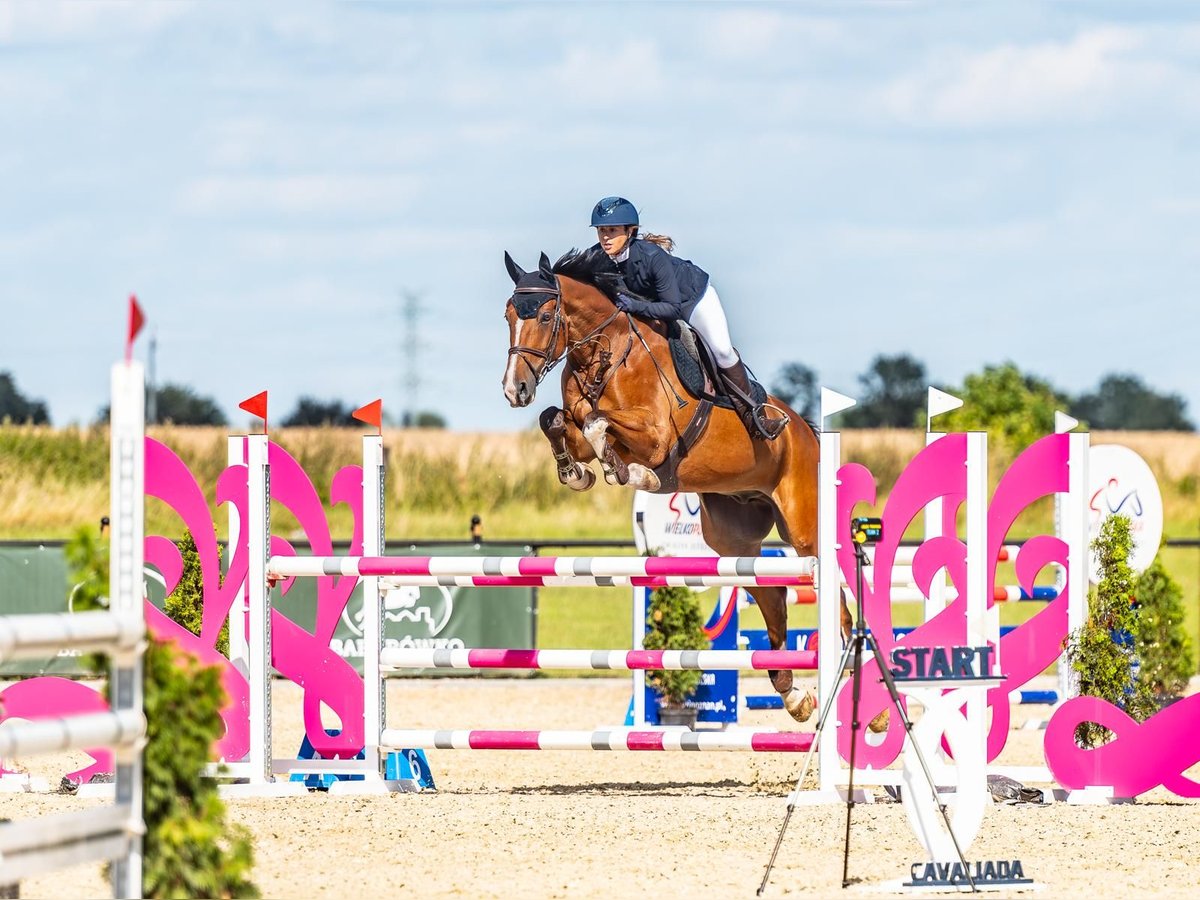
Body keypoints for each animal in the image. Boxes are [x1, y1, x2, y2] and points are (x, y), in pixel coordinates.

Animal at [501, 248, 849, 724]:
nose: (514, 389)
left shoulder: (656, 436)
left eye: (546, 314)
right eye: (508, 315)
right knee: (773, 593)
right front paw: (577, 473)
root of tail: (806, 431)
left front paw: (632, 475)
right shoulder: (578, 426)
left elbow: (597, 423)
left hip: (805, 527)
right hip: (732, 538)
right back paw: (793, 694)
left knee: (837, 598)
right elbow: (556, 420)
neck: (604, 354)